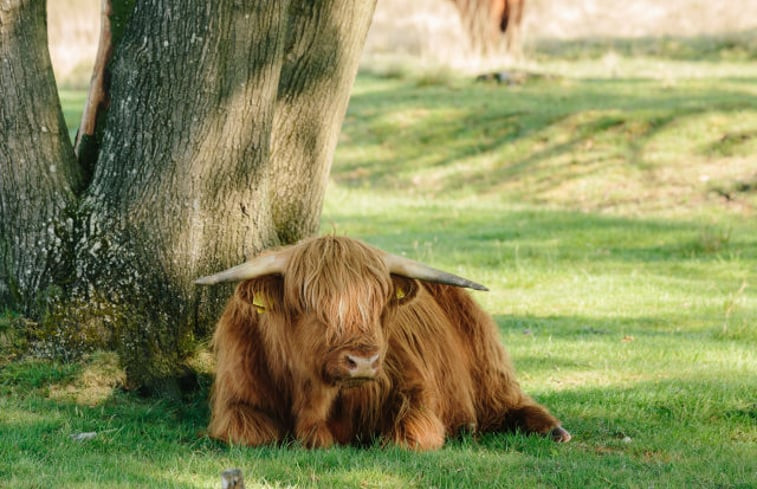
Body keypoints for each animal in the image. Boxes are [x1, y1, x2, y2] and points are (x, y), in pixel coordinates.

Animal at [195, 234, 568, 448]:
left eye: (377, 303)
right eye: (308, 303)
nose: (363, 362)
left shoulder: (414, 389)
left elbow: (410, 436)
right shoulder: (236, 401)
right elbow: (250, 435)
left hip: (488, 365)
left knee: (511, 401)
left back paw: (554, 431)